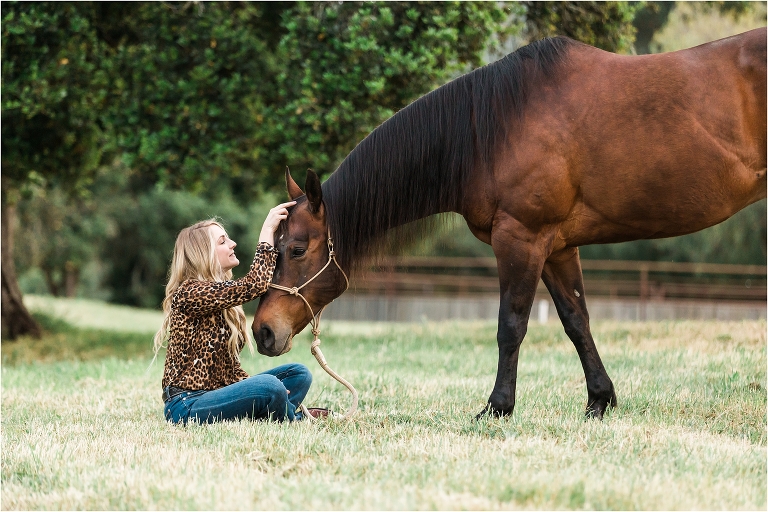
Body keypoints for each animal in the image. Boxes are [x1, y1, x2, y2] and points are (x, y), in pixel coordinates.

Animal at [252, 28, 767, 419]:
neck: (489, 130)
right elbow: (576, 320)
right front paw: (599, 402)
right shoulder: (557, 247)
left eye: (296, 249)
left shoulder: (522, 237)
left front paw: (497, 408)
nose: (263, 332)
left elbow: (511, 325)